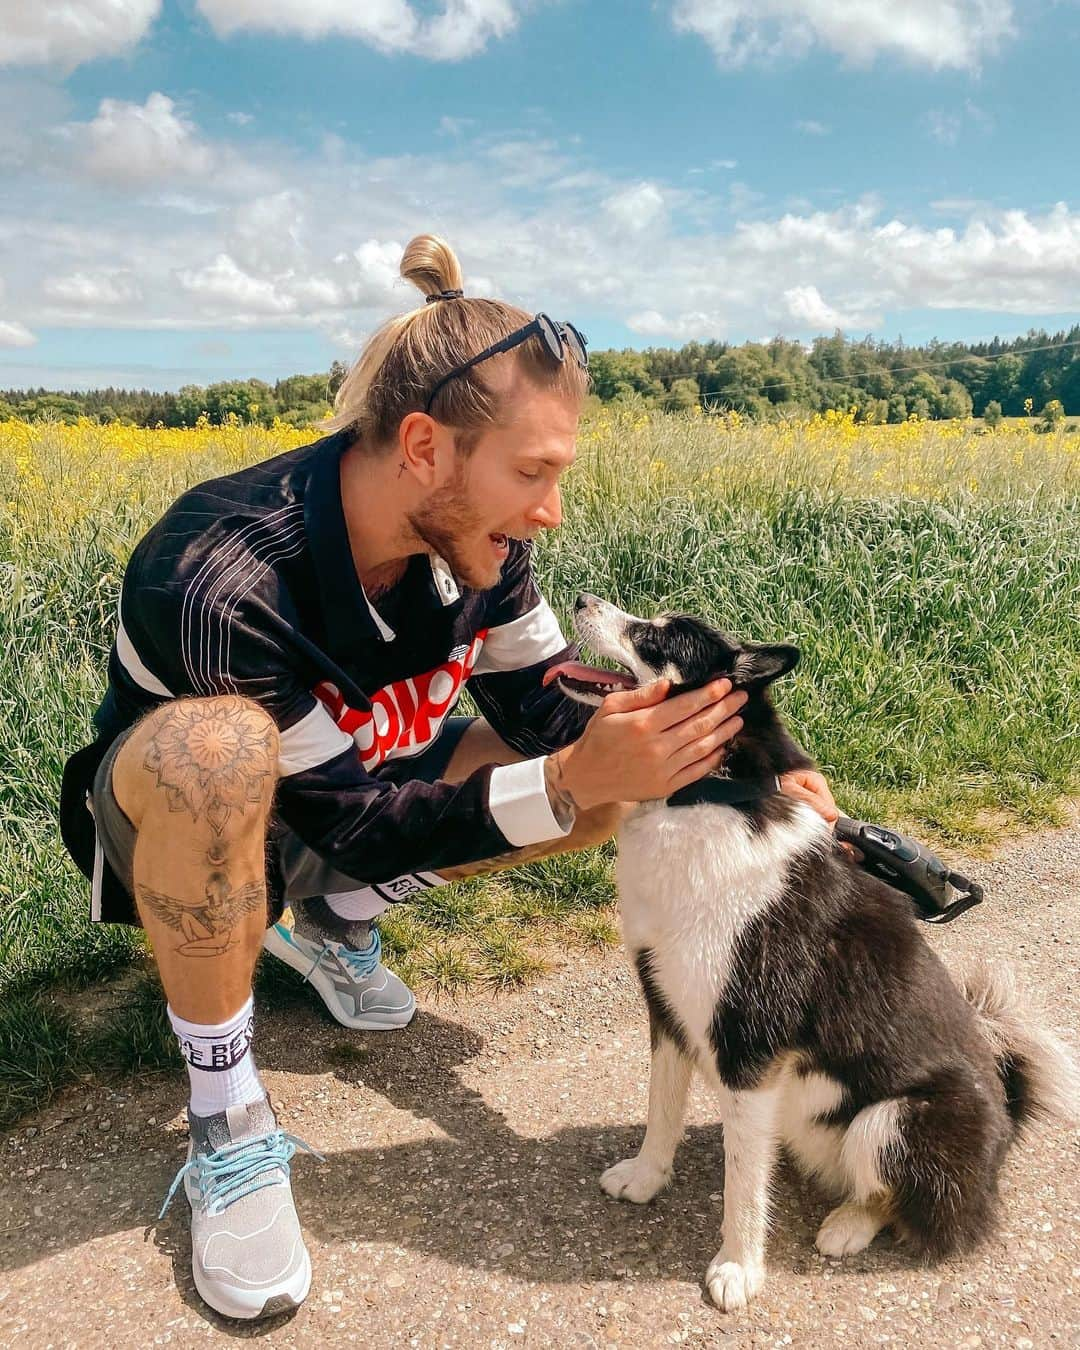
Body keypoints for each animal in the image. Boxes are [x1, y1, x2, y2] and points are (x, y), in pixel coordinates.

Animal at [553, 596, 1074, 1312]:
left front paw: (738, 1268)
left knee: (899, 1199)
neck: (705, 797)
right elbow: (662, 1111)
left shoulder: (749, 1047)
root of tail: (1005, 1118)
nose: (581, 601)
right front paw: (647, 1178)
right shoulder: (668, 1008)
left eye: (659, 637)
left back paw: (850, 1224)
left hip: (893, 1121)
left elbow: (743, 1186)